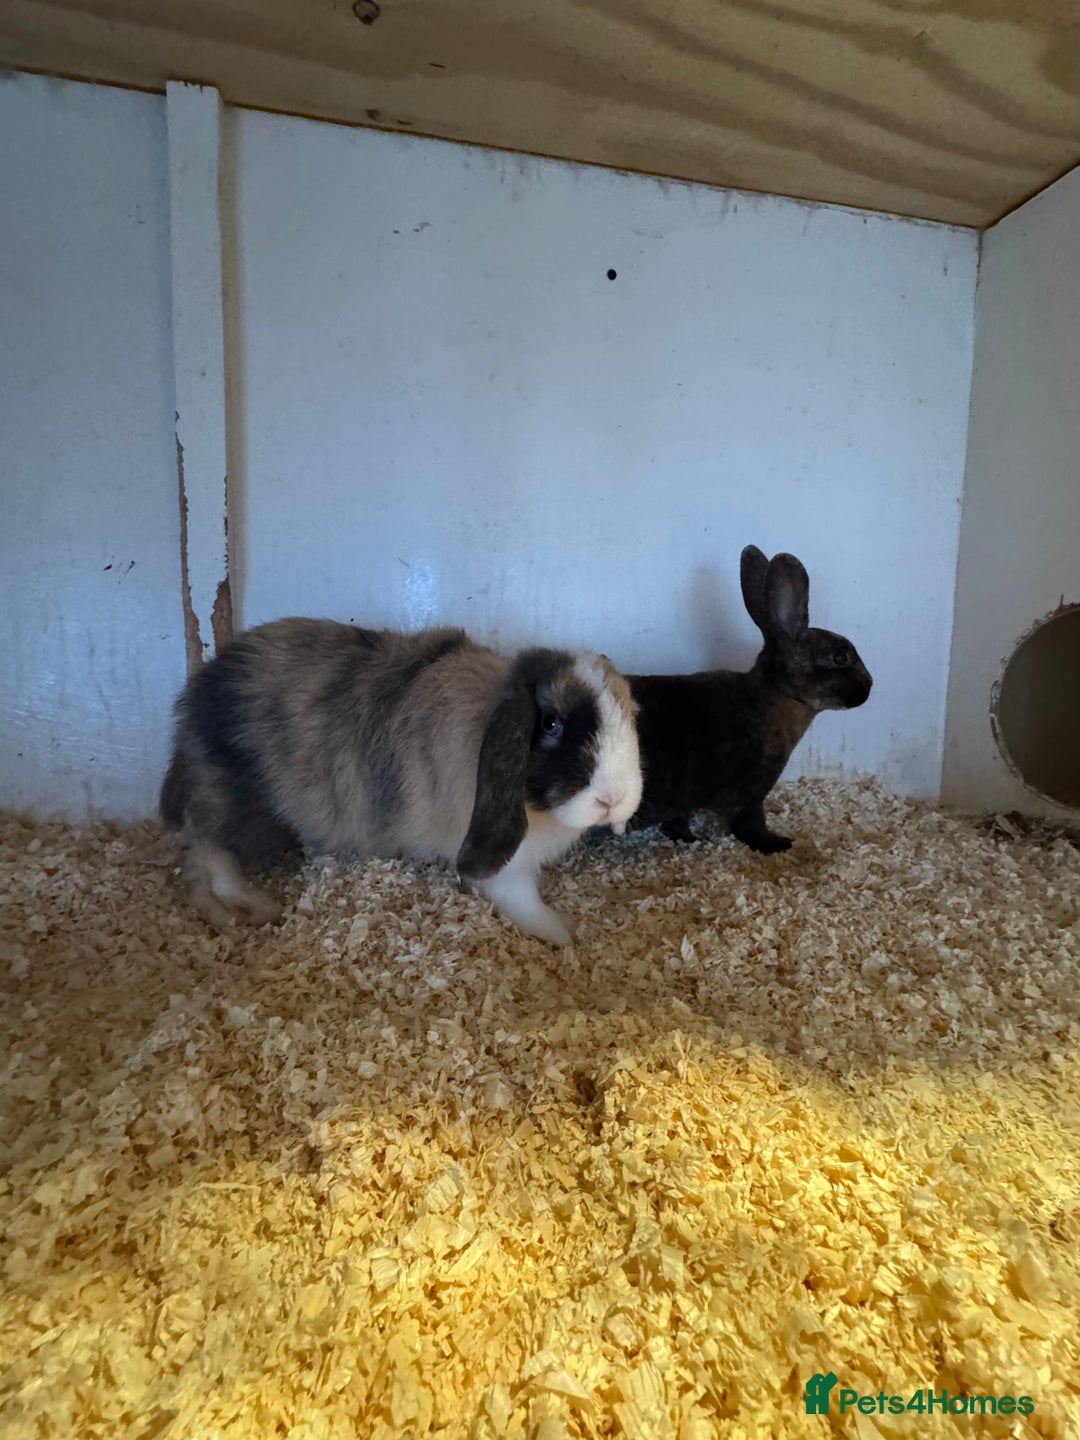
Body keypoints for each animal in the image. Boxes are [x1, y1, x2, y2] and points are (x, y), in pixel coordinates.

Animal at [160, 618, 642, 946]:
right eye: (551, 723)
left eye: (629, 712)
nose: (613, 799)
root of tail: (192, 703)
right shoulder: (508, 868)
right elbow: (523, 901)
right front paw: (565, 933)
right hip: (229, 802)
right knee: (208, 854)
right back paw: (256, 906)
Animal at [625, 546, 872, 852]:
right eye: (840, 657)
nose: (869, 686)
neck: (774, 696)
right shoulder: (748, 795)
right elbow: (751, 827)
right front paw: (780, 844)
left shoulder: (686, 804)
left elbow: (676, 823)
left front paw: (688, 839)